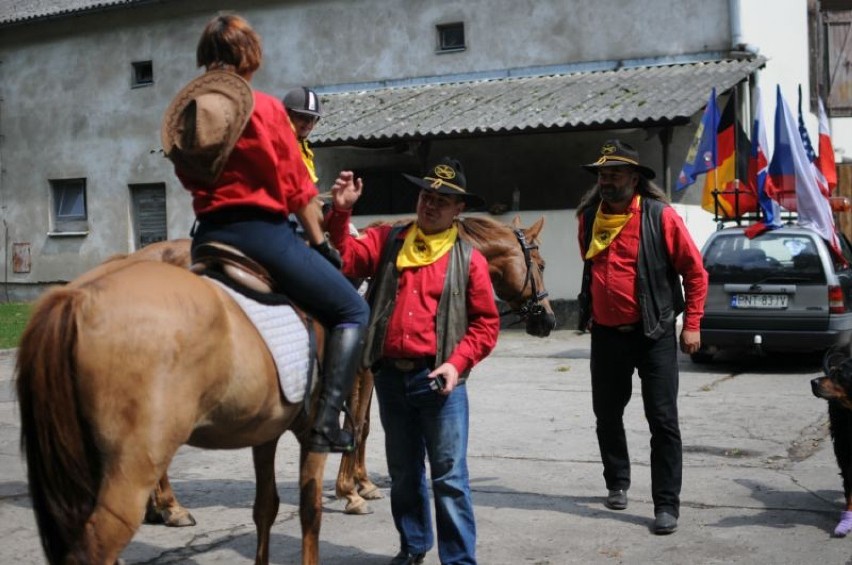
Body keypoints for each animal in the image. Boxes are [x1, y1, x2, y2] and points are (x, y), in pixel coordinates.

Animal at [16, 214, 556, 560]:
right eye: (543, 263)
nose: (547, 319)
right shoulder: (361, 368)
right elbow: (360, 425)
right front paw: (353, 489)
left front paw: (357, 484)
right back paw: (168, 507)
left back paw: (164, 506)